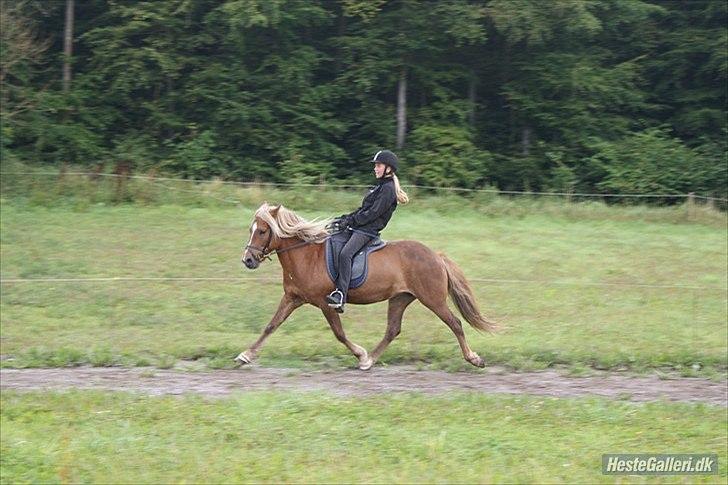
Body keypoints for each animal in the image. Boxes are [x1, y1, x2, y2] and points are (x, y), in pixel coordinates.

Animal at [236, 202, 498, 368]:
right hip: (400, 298)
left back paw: (474, 358)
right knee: (393, 329)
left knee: (455, 323)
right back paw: (370, 360)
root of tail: (436, 255)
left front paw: (359, 354)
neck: (305, 255)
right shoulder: (292, 298)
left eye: (262, 231)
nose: (248, 260)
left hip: (433, 299)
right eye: (251, 230)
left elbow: (339, 333)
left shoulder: (325, 303)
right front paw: (245, 355)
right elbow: (271, 326)